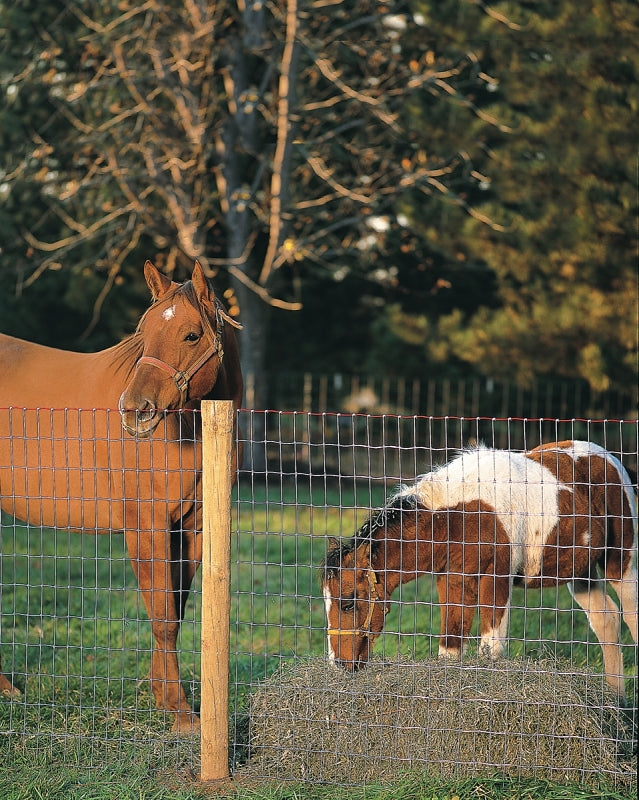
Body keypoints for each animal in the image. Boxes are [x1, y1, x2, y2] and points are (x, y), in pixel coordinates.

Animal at [0, 260, 244, 728]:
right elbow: (162, 614)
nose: (135, 411)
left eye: (191, 334)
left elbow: (175, 611)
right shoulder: (145, 526)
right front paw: (181, 712)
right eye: (143, 332)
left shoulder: (189, 528)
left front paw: (163, 696)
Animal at [324, 440, 639, 704]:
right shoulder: (451, 582)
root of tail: (610, 458)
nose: (339, 664)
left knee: (630, 615)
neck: (458, 516)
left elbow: (490, 650)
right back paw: (616, 703)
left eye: (349, 602)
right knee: (606, 620)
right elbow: (450, 648)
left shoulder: (496, 580)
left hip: (619, 562)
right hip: (580, 573)